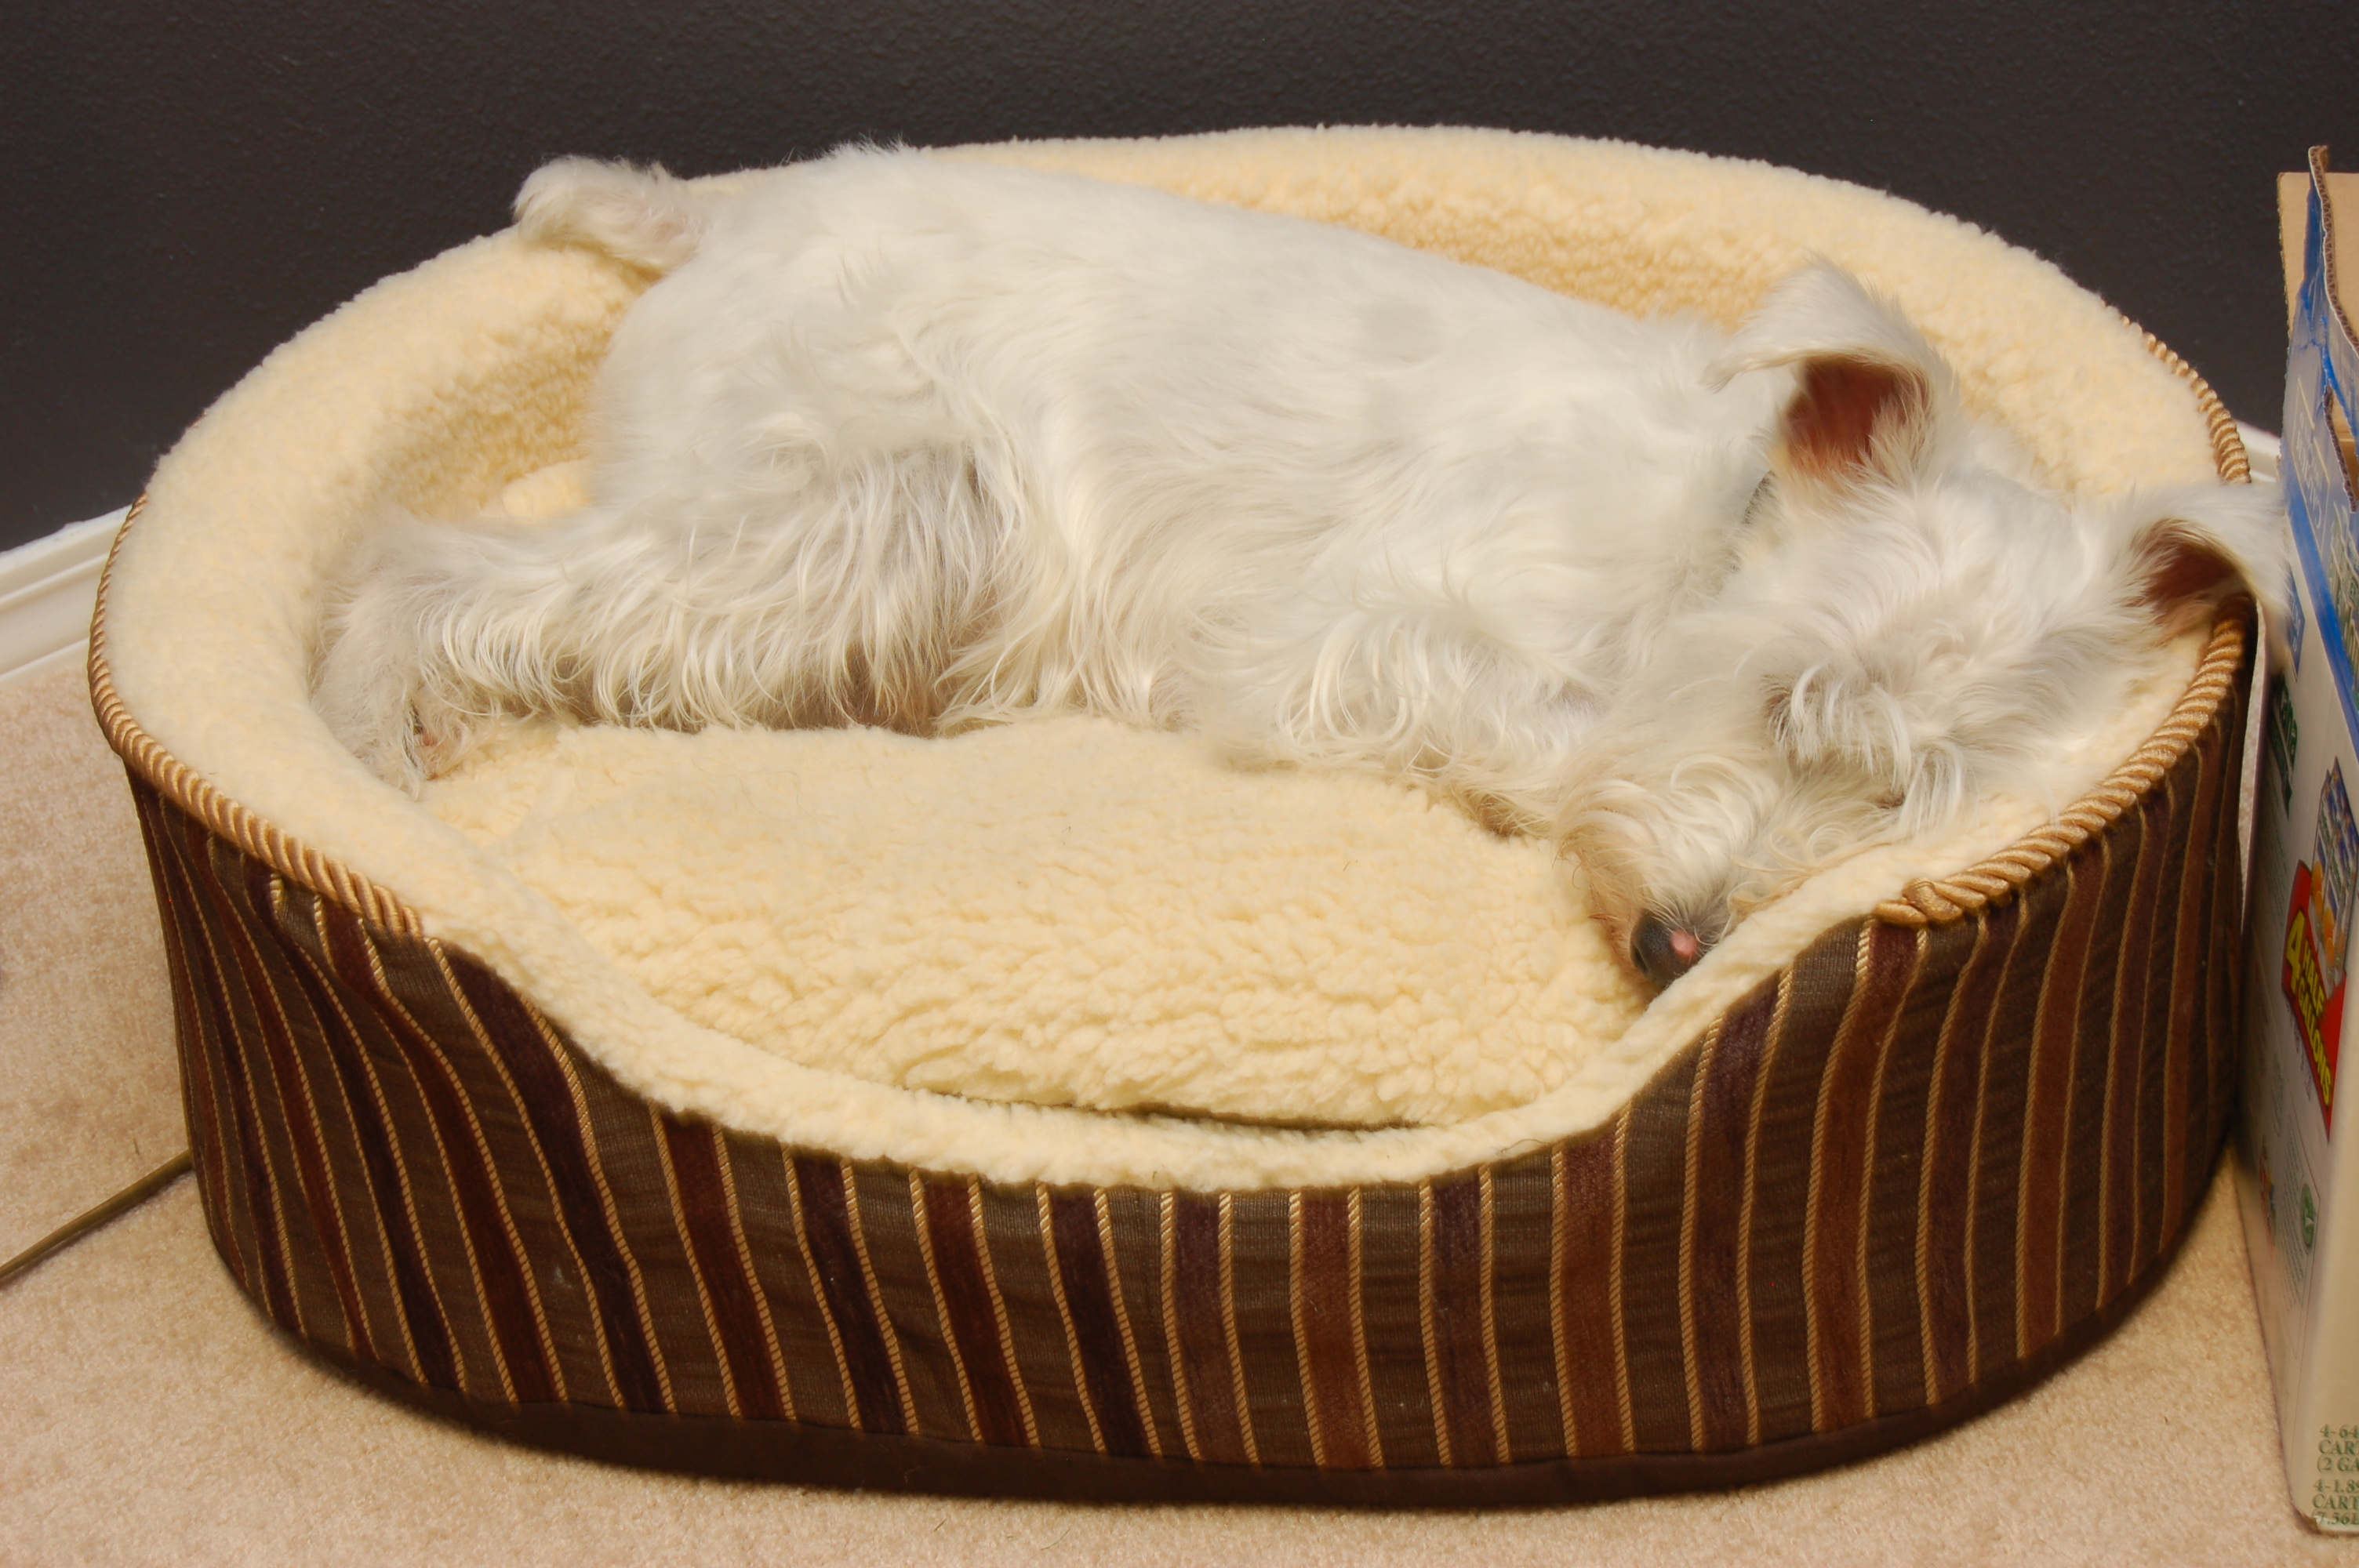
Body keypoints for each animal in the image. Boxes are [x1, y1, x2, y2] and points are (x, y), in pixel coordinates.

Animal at [314, 147, 2284, 988]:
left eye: (1917, 801)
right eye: (1785, 695)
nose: (1674, 947)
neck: (1691, 553)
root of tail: (718, 217)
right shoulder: (1349, 636)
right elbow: (1528, 724)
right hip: (859, 514)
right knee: (424, 573)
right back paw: (372, 745)